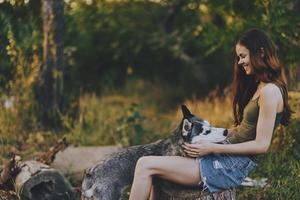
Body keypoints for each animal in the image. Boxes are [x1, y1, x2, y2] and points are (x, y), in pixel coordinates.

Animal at [81, 105, 227, 199]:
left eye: (210, 126)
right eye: (207, 132)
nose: (226, 131)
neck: (177, 148)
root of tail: (91, 171)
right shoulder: (172, 186)